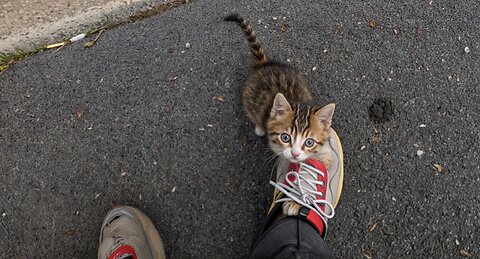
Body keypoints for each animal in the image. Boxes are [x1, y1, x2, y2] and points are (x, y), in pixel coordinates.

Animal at [226, 14, 336, 217]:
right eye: (285, 137)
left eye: (309, 142)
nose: (295, 153)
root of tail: (265, 64)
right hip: (248, 98)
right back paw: (259, 127)